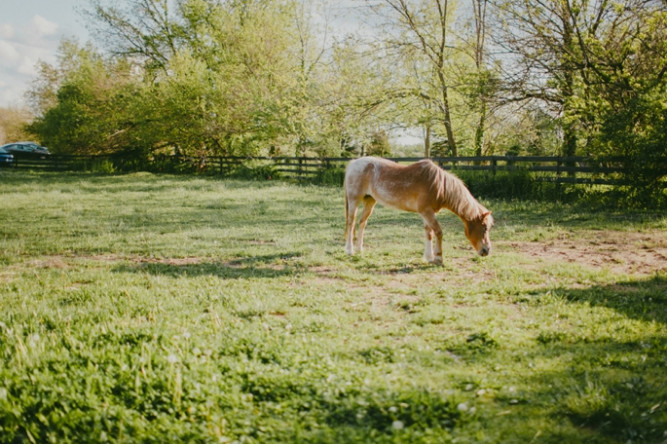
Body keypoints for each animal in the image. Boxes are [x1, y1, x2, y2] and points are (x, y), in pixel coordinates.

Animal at [344, 155, 496, 262]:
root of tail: (353, 164)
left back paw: (359, 249)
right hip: (354, 200)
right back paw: (350, 250)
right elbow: (438, 232)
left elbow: (429, 233)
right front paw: (438, 258)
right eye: (484, 227)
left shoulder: (427, 213)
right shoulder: (427, 212)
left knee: (362, 223)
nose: (487, 250)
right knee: (351, 223)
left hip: (370, 201)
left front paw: (428, 257)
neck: (438, 185)